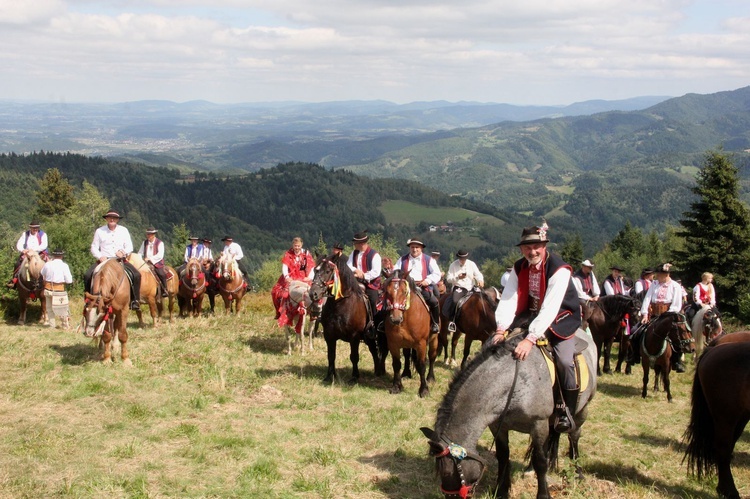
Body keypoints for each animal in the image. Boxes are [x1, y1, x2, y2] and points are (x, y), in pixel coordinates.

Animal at [308, 256, 384, 384]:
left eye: (328, 271)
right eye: (315, 270)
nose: (313, 293)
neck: (340, 304)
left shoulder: (354, 337)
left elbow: (354, 357)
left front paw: (354, 377)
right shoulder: (329, 336)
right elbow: (331, 356)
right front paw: (329, 376)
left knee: (375, 351)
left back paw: (379, 372)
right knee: (374, 350)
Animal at [382, 270, 440, 398]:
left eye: (404, 292)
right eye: (387, 292)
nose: (395, 319)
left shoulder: (421, 344)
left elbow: (422, 365)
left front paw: (424, 390)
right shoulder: (393, 344)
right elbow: (396, 364)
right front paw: (396, 386)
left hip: (434, 340)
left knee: (432, 357)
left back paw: (431, 378)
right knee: (407, 355)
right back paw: (406, 373)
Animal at [424, 328, 600, 499]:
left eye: (447, 472)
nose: (450, 497)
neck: (513, 383)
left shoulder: (539, 423)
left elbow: (541, 461)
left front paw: (543, 494)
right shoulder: (498, 426)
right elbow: (503, 456)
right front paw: (501, 490)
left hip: (581, 410)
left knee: (573, 437)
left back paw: (578, 472)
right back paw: (530, 469)